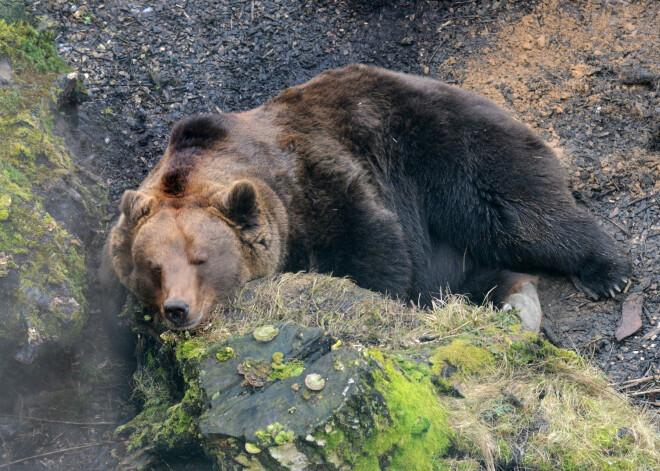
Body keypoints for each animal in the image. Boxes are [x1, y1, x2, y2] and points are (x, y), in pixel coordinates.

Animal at [100, 63, 632, 332]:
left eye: (202, 258)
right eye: (152, 267)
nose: (177, 309)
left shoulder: (320, 182)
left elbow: (372, 247)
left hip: (446, 146)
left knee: (516, 209)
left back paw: (607, 272)